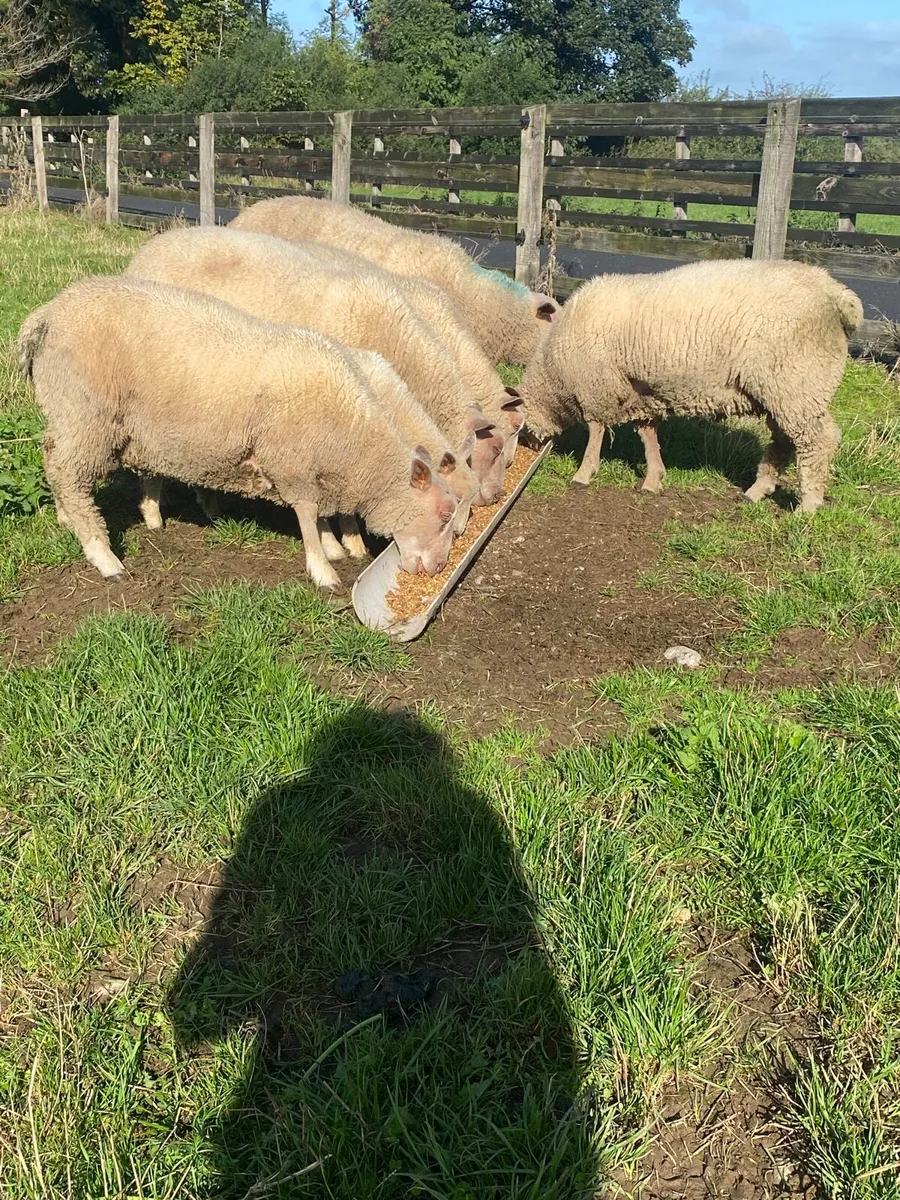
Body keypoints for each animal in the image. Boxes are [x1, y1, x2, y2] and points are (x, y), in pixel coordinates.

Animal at [18, 276, 459, 589]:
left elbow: (320, 514)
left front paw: (333, 549)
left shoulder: (312, 468)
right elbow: (307, 515)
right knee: (69, 474)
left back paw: (67, 517)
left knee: (53, 458)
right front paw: (323, 569)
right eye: (443, 514)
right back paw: (104, 556)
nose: (438, 569)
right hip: (86, 413)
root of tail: (47, 313)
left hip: (72, 416)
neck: (354, 435)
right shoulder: (293, 462)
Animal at [520, 260, 864, 513]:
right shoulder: (643, 394)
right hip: (783, 391)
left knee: (817, 442)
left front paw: (583, 474)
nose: (529, 449)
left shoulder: (596, 388)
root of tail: (836, 293)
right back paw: (756, 491)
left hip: (797, 383)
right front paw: (653, 479)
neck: (553, 369)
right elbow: (648, 436)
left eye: (519, 430)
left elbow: (595, 432)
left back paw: (808, 505)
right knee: (784, 441)